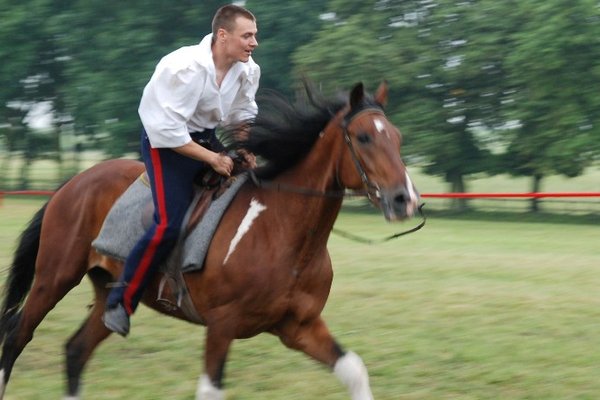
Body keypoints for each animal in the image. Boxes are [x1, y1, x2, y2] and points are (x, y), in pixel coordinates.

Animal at [0, 83, 420, 398]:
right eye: (363, 137)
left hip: (110, 296)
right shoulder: (222, 326)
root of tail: (71, 184)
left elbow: (354, 370)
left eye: (397, 138)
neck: (282, 232)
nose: (406, 199)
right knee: (16, 337)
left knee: (75, 351)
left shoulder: (299, 326)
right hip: (53, 279)